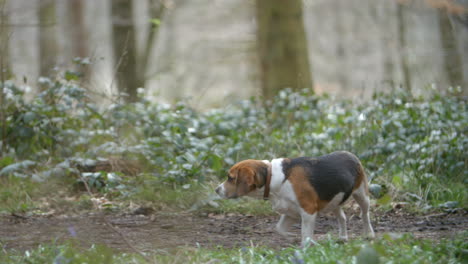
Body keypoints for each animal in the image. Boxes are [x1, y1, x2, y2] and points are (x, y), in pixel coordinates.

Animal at [217, 152, 376, 246]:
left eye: (230, 178)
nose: (216, 190)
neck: (271, 177)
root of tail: (351, 154)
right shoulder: (290, 212)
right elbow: (278, 228)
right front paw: (292, 237)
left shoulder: (308, 212)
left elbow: (305, 234)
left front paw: (305, 248)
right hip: (334, 201)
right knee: (342, 217)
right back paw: (343, 237)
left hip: (362, 196)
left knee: (365, 215)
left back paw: (369, 234)